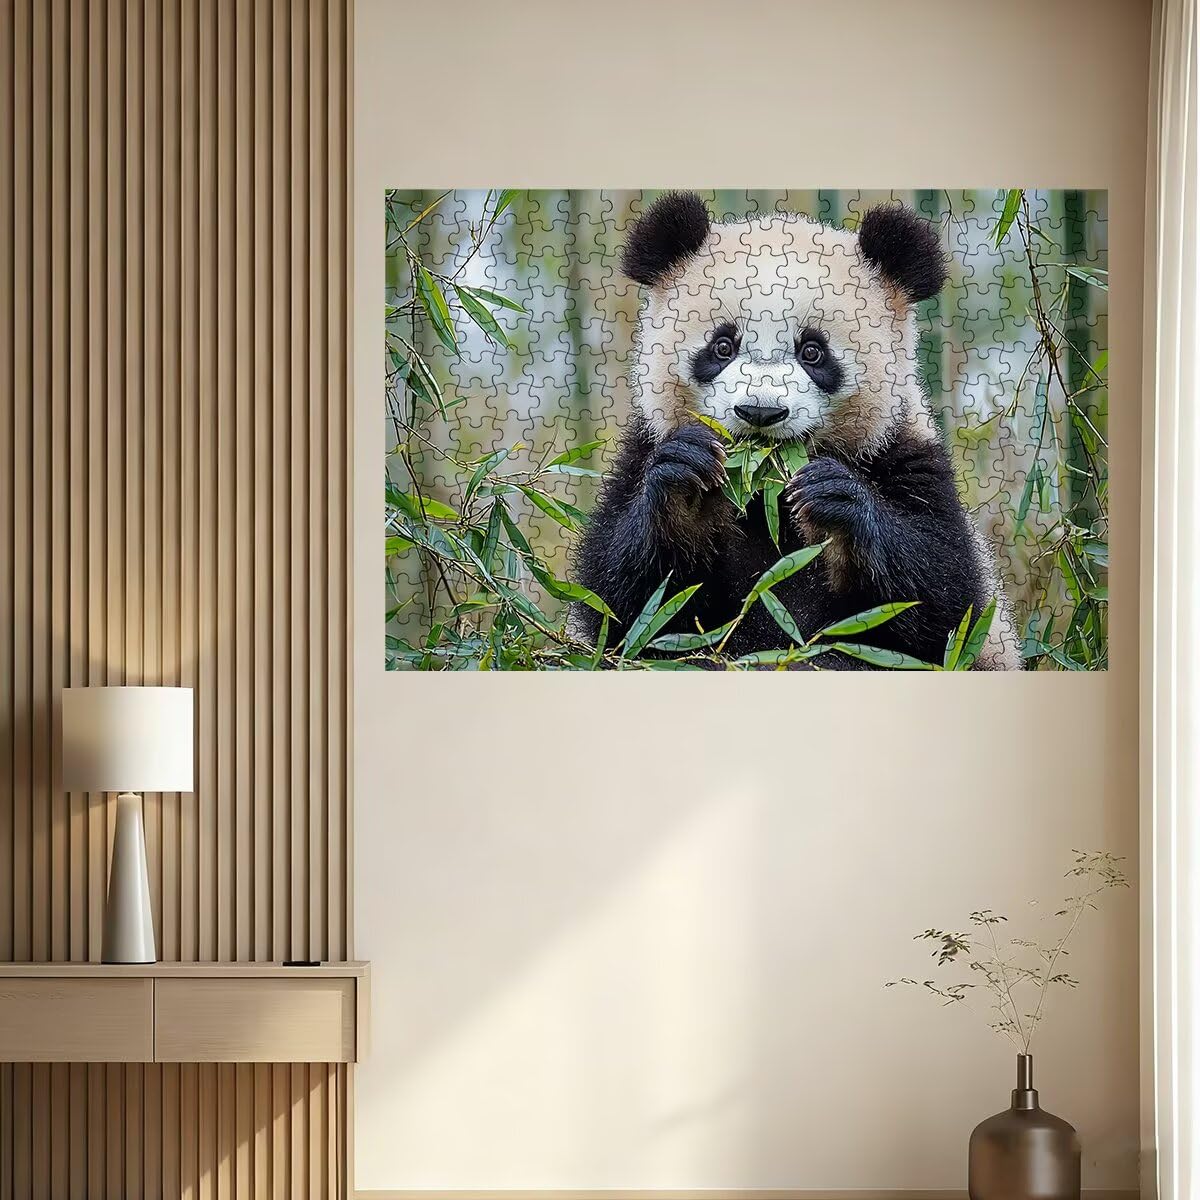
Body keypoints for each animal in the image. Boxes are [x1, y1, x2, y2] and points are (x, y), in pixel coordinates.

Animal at [571, 190, 1020, 670]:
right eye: (722, 346)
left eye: (813, 351)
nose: (760, 411)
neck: (763, 498)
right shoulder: (643, 449)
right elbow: (624, 607)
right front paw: (687, 481)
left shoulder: (904, 454)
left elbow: (945, 604)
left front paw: (834, 498)